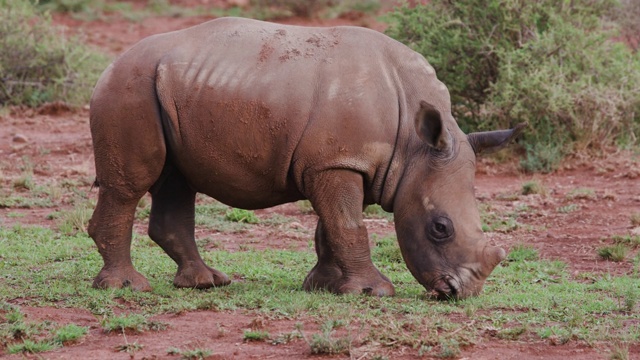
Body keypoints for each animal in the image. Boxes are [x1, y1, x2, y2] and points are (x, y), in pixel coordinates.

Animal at [87, 16, 524, 298]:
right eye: (440, 228)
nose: (460, 292)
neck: (413, 146)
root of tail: (111, 63)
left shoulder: (339, 162)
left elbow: (330, 226)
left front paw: (324, 286)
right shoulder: (338, 162)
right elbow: (348, 224)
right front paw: (374, 291)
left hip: (168, 90)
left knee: (177, 183)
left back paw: (206, 282)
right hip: (129, 87)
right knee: (130, 187)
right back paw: (126, 288)